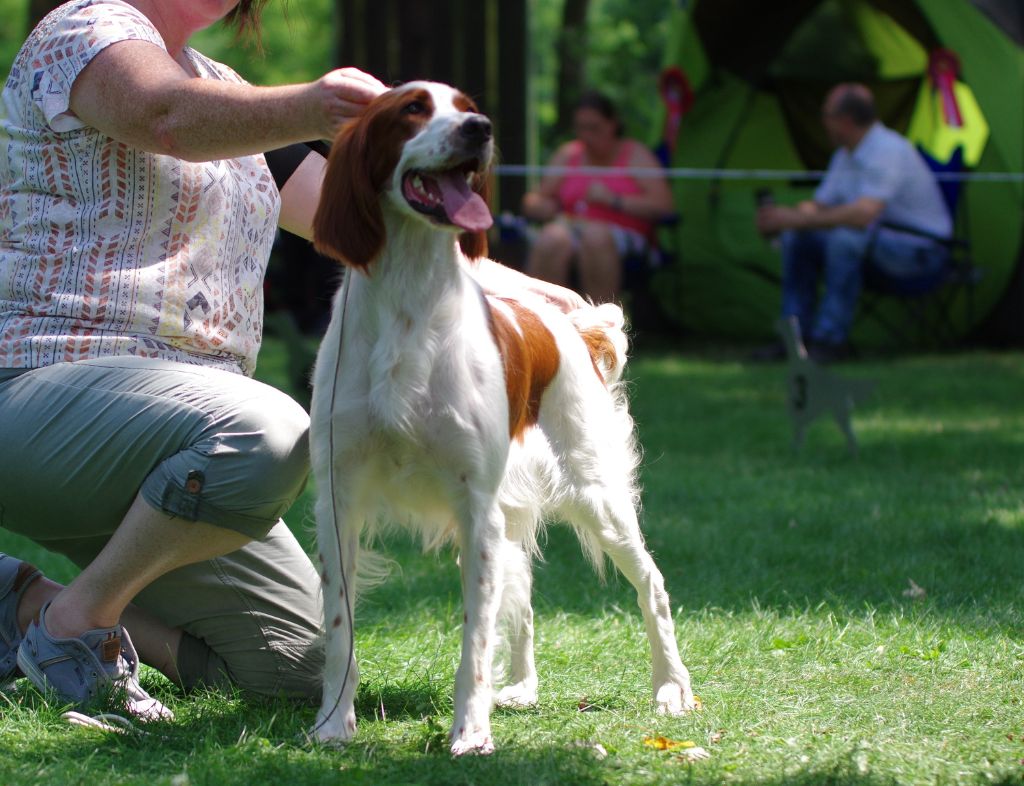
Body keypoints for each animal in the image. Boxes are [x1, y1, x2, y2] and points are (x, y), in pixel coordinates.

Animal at [309, 81, 696, 753]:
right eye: (412, 108)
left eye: (467, 104)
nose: (480, 129)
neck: (410, 301)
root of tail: (568, 323)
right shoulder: (340, 497)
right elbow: (340, 626)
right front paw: (334, 721)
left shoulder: (476, 503)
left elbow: (474, 639)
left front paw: (470, 732)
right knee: (525, 600)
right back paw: (522, 686)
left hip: (595, 494)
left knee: (652, 585)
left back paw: (671, 687)